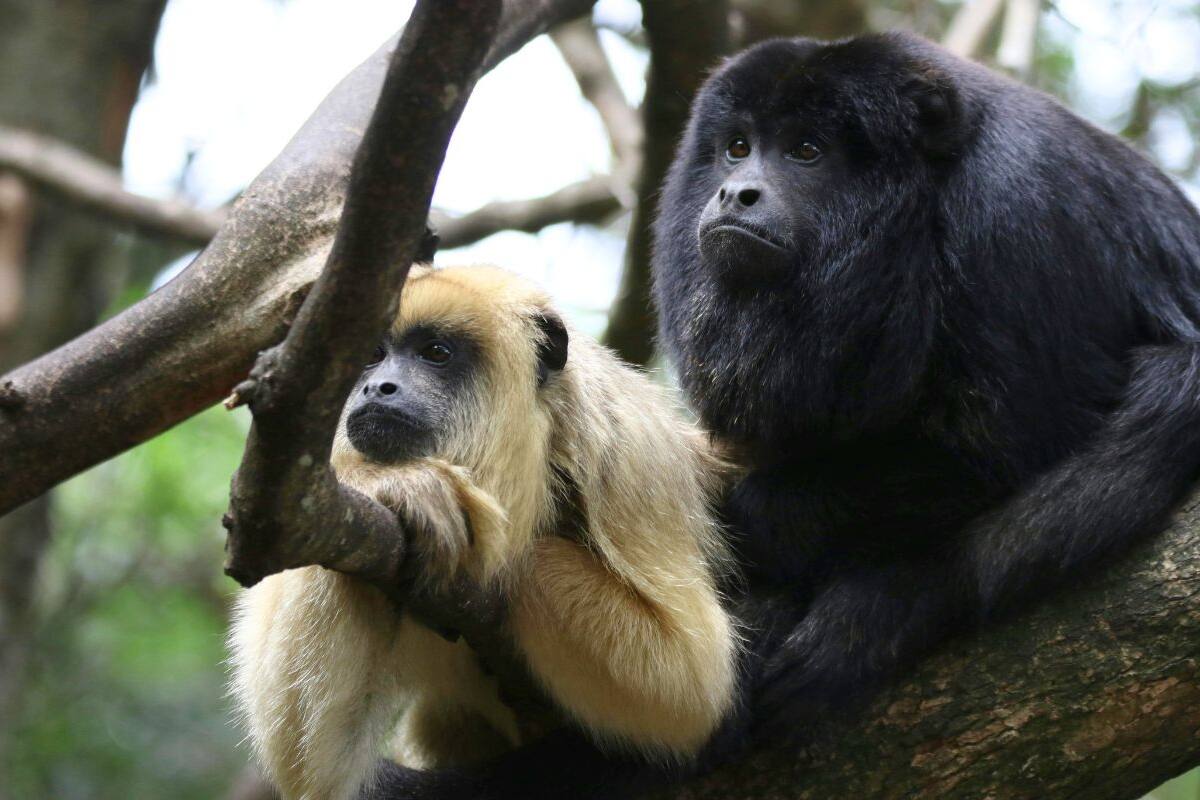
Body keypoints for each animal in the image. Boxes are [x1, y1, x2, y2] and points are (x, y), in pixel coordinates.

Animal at [228, 264, 739, 800]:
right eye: (374, 356)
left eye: (435, 353)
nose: (376, 387)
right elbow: (309, 759)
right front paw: (393, 484)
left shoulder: (632, 459)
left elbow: (687, 690)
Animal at [651, 30, 1200, 735]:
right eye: (738, 148)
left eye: (806, 151)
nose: (734, 192)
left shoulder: (1012, 212)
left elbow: (1019, 446)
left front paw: (762, 516)